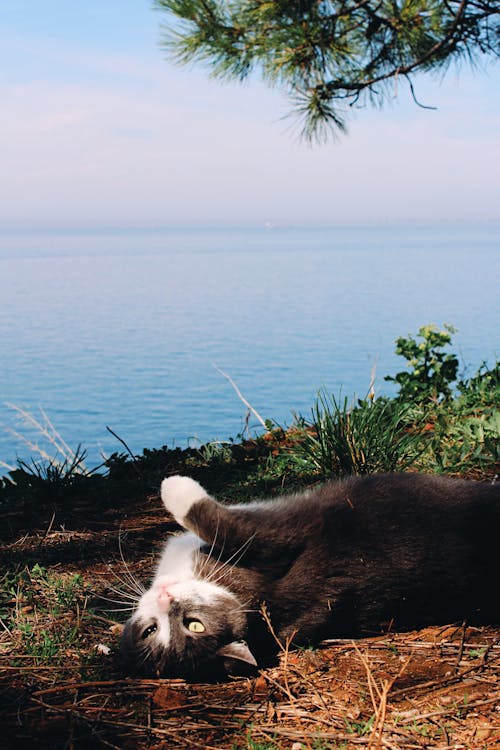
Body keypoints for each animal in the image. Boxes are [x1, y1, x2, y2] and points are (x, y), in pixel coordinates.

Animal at [121, 476, 500, 680]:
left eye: (194, 624)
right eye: (153, 631)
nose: (166, 599)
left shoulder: (277, 536)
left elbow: (217, 522)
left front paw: (173, 486)